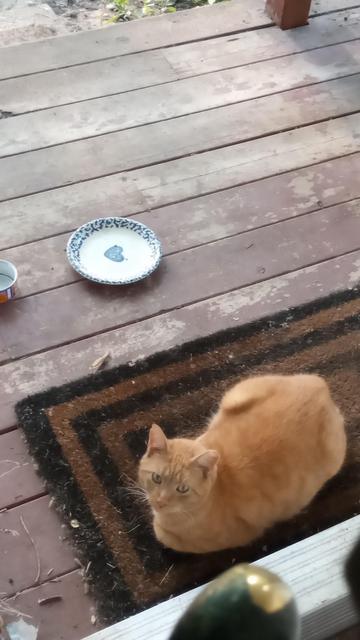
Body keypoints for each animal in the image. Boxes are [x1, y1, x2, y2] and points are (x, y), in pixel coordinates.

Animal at [138, 372, 346, 552]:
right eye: (157, 478)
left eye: (182, 489)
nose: (160, 501)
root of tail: (320, 386)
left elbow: (161, 533)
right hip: (235, 395)